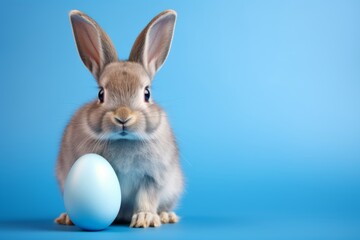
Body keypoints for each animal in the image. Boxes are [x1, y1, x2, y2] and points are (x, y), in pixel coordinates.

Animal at [54, 8, 184, 227]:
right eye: (101, 94)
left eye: (147, 93)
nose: (123, 117)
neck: (124, 141)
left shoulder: (152, 177)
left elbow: (147, 198)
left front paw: (145, 218)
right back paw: (66, 218)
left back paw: (166, 215)